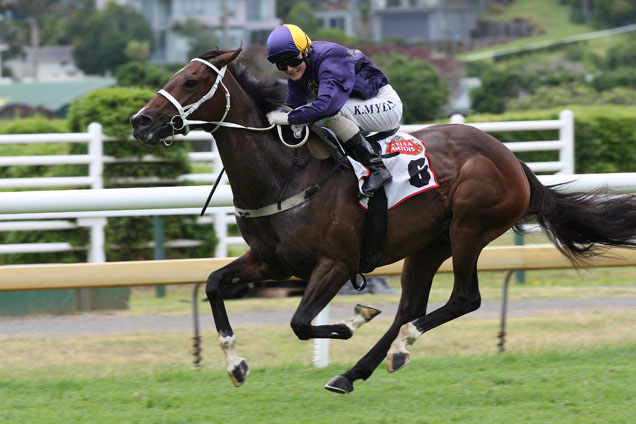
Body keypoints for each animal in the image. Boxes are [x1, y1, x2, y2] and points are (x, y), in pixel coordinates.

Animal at [130, 48, 636, 394]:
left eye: (192, 81)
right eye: (175, 76)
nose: (141, 121)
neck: (285, 171)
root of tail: (514, 161)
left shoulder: (334, 264)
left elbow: (301, 322)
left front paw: (355, 317)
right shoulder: (271, 261)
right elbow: (215, 284)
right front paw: (236, 364)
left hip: (469, 229)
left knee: (461, 300)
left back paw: (399, 348)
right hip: (428, 245)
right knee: (409, 308)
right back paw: (354, 372)